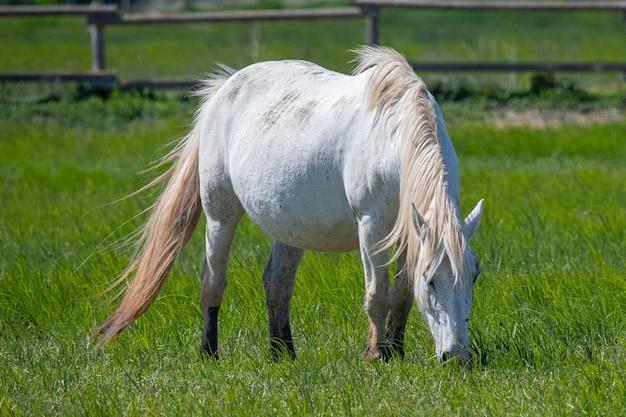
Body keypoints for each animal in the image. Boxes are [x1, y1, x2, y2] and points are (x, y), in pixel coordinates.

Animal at [94, 46, 482, 364]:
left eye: (474, 276)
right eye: (432, 282)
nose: (457, 357)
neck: (392, 140)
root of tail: (225, 87)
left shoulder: (407, 233)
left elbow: (401, 294)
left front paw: (396, 352)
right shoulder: (372, 228)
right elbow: (378, 295)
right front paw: (377, 355)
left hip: (291, 227)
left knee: (276, 282)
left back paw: (282, 352)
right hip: (220, 213)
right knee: (213, 280)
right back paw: (208, 352)